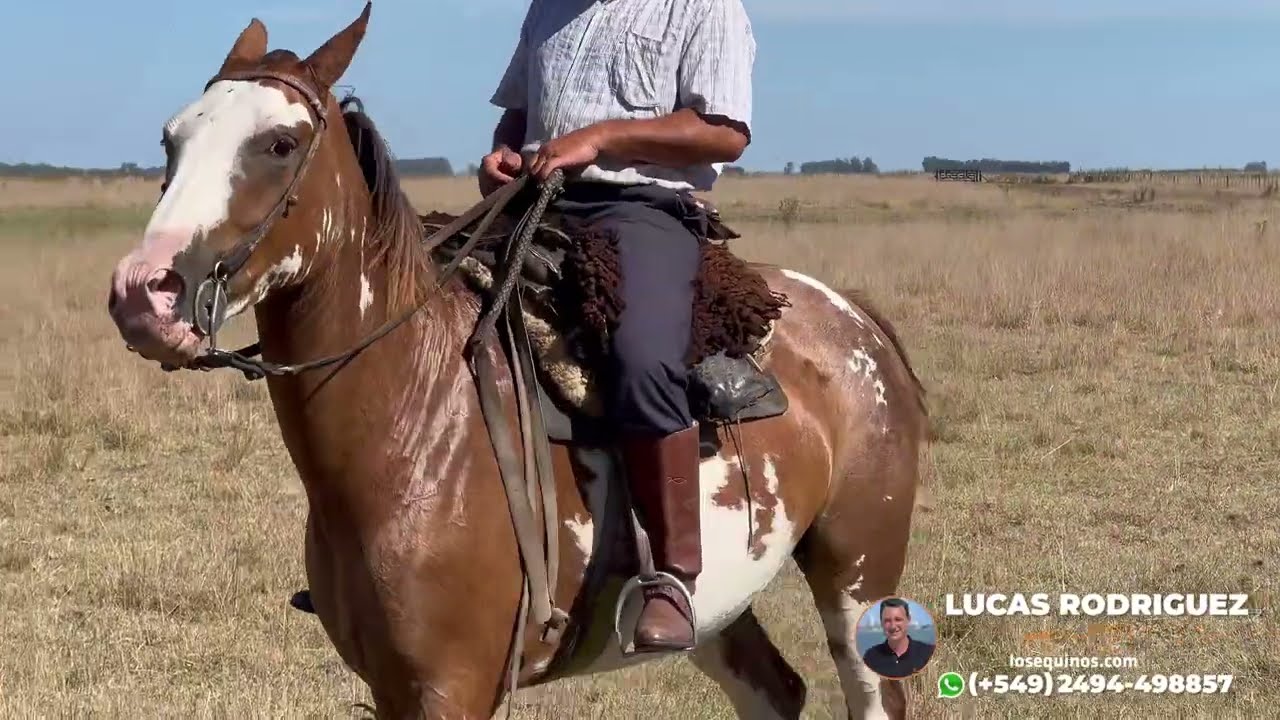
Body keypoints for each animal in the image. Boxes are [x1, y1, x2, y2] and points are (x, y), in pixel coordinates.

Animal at [105, 4, 931, 718]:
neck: (415, 420)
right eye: (171, 141)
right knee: (776, 690)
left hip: (859, 572)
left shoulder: (453, 688)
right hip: (722, 611)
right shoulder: (390, 687)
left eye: (278, 144)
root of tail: (853, 315)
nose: (144, 295)